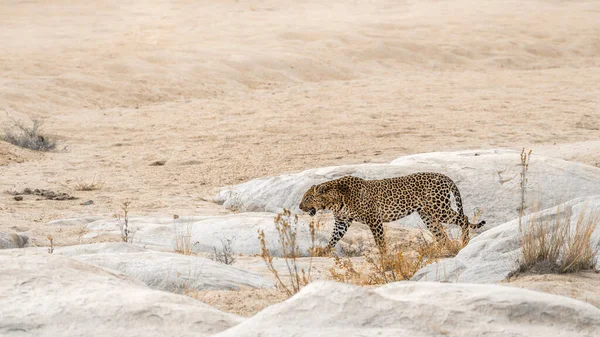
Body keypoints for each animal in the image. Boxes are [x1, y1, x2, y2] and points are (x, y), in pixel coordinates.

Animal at [298, 171, 486, 252]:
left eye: (307, 198)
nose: (299, 207)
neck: (334, 201)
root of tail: (445, 177)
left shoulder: (374, 219)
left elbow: (380, 241)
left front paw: (384, 258)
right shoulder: (342, 222)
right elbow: (333, 238)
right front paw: (324, 251)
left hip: (439, 208)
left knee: (464, 218)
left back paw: (464, 242)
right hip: (428, 215)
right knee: (441, 233)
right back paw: (440, 249)